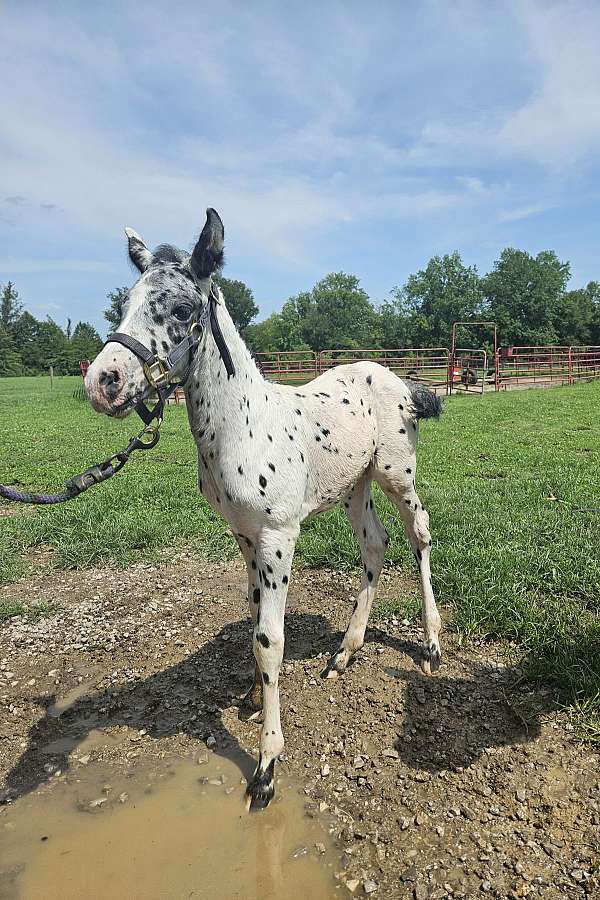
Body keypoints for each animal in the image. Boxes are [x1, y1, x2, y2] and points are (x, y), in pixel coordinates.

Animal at [84, 209, 442, 808]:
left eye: (182, 309)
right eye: (126, 300)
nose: (101, 382)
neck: (243, 425)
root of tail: (397, 378)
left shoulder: (277, 537)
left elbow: (270, 639)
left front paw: (267, 766)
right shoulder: (245, 536)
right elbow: (254, 619)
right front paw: (252, 696)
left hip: (397, 474)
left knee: (419, 534)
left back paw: (433, 644)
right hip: (355, 486)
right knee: (376, 545)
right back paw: (345, 651)